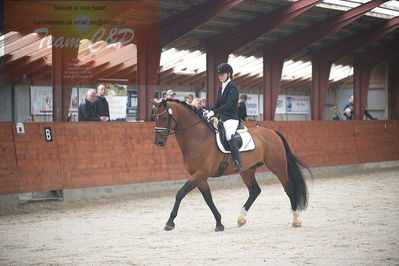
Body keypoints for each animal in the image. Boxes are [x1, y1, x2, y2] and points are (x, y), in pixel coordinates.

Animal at [151, 98, 310, 232]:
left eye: (163, 118)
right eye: (155, 118)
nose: (158, 142)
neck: (199, 139)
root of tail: (273, 132)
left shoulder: (200, 174)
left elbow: (180, 194)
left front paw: (170, 223)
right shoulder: (200, 177)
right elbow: (208, 199)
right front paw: (219, 223)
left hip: (278, 167)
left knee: (288, 188)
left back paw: (296, 220)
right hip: (247, 170)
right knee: (255, 191)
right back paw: (241, 219)